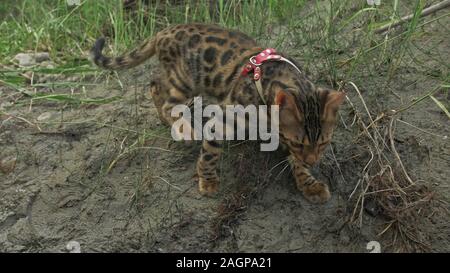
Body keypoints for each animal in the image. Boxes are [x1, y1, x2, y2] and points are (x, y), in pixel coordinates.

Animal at [89, 23, 346, 203]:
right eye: (298, 142)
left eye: (323, 143)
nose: (313, 161)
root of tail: (164, 31)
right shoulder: (226, 116)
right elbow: (211, 152)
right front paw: (208, 180)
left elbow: (297, 165)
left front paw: (310, 184)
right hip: (186, 80)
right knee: (167, 102)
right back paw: (183, 128)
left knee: (154, 84)